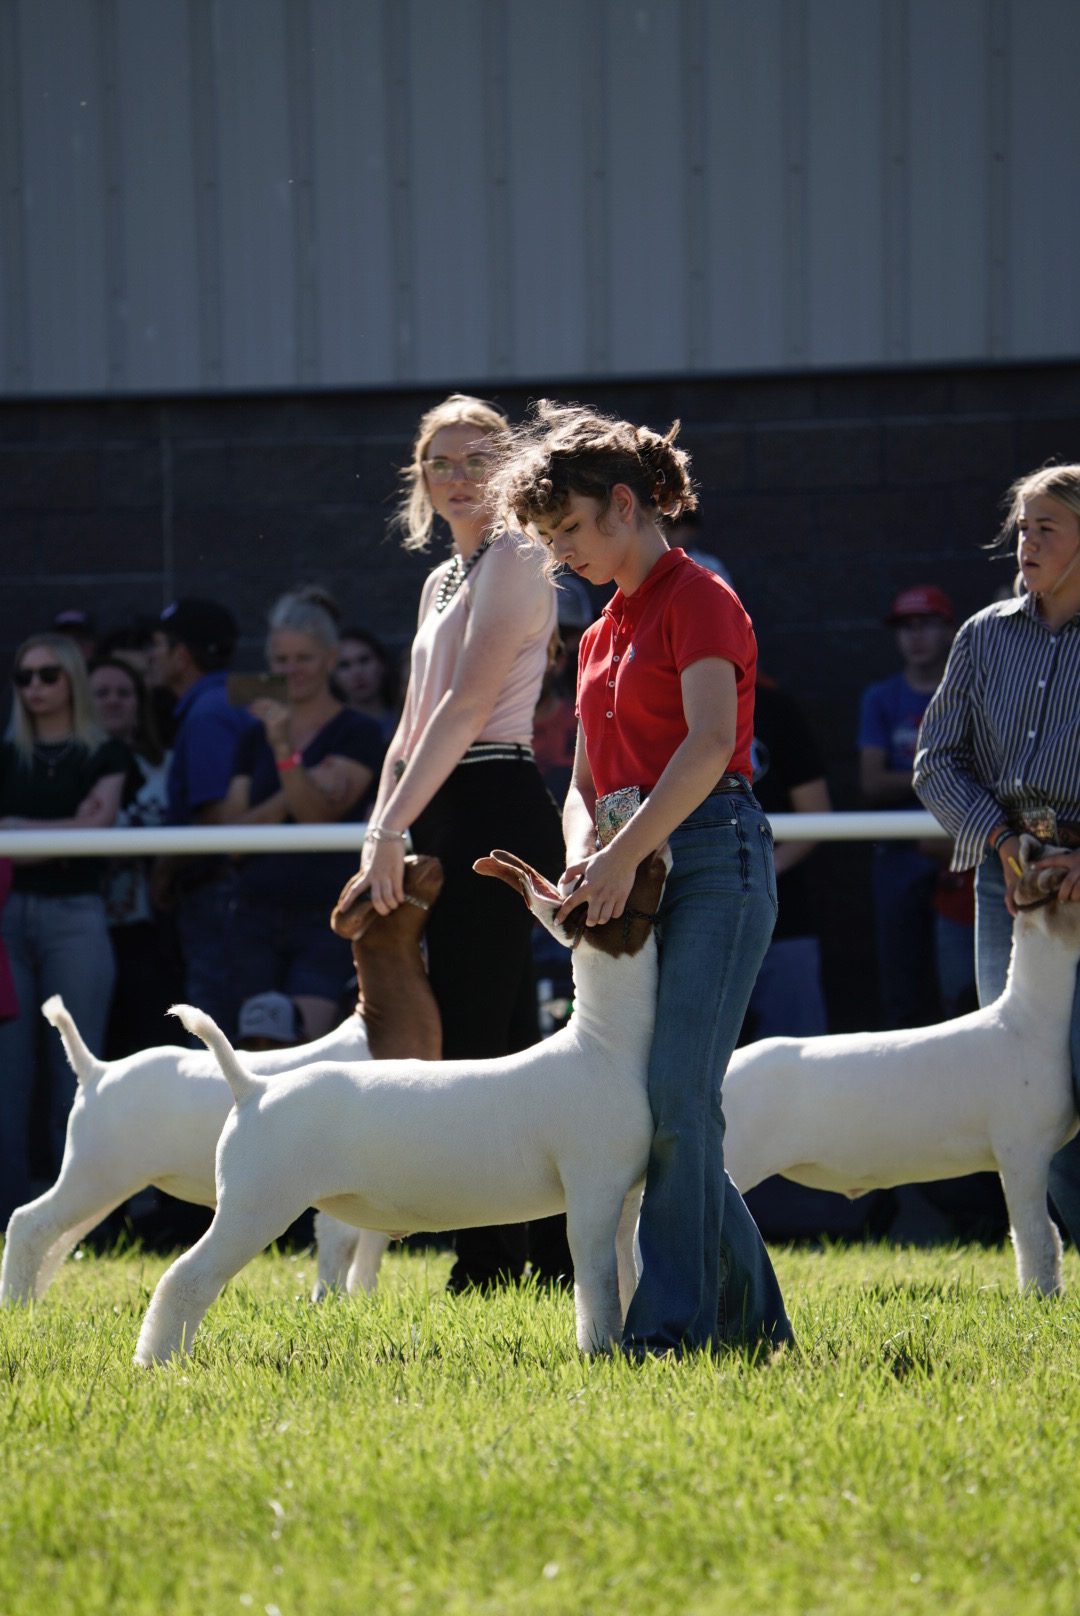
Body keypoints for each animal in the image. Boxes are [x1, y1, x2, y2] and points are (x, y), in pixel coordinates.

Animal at [1, 853, 442, 1305]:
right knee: (30, 1222)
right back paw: (17, 1303)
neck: (377, 1030)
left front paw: (362, 1298)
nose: (426, 857)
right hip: (95, 1168)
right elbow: (341, 1239)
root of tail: (96, 1070)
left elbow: (372, 1244)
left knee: (59, 1236)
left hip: (106, 1177)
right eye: (403, 872)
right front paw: (329, 1299)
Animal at [131, 846, 669, 1363]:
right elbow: (597, 1282)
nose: (654, 848)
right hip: (255, 1205)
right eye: (635, 876)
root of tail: (253, 1087)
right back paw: (158, 1360)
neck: (603, 1044)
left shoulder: (625, 1200)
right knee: (186, 1278)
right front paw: (600, 1348)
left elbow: (626, 1274)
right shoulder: (592, 1191)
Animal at [721, 840, 1080, 1292]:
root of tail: (725, 1068)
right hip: (734, 1155)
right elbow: (1038, 1236)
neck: (1027, 1021)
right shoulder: (1021, 1149)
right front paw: (1040, 1297)